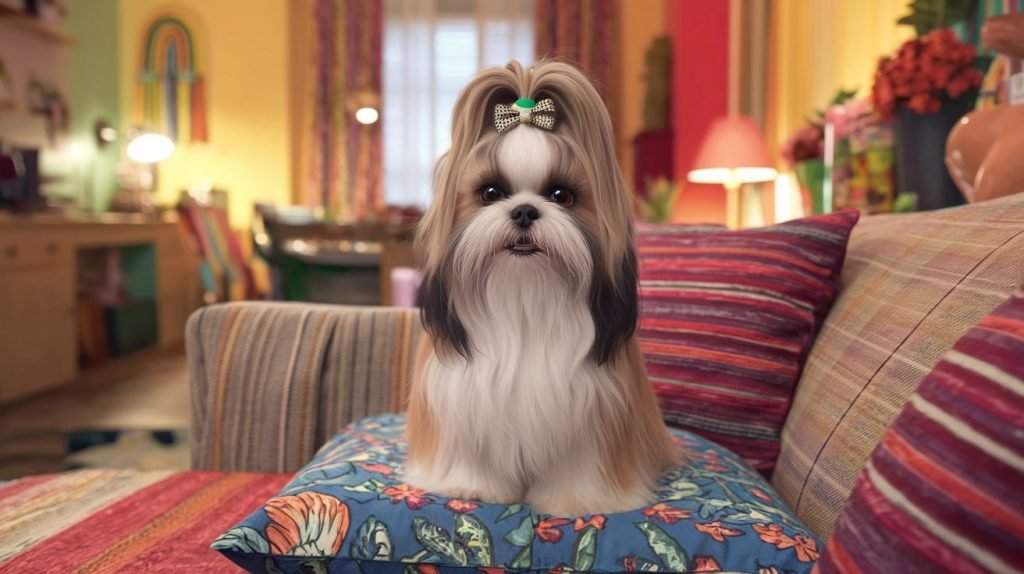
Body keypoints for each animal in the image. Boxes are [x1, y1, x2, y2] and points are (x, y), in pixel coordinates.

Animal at [405, 59, 679, 515]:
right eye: (491, 192)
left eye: (561, 195)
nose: (524, 211)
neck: (525, 299)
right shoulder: (462, 398)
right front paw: (472, 486)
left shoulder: (595, 408)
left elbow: (580, 464)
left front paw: (577, 498)